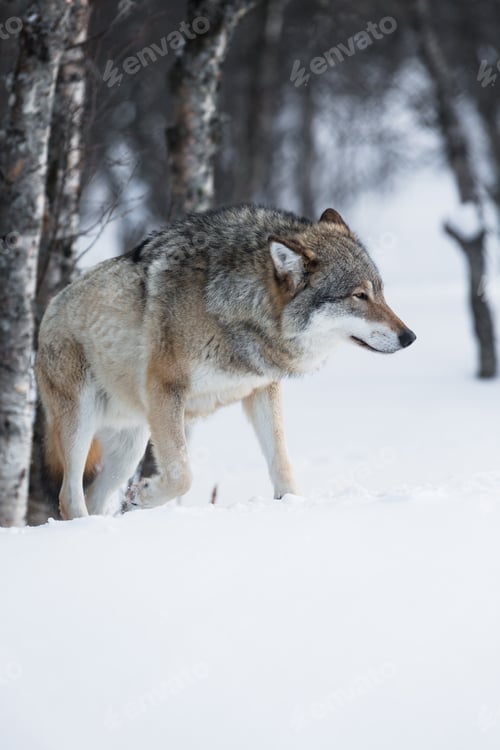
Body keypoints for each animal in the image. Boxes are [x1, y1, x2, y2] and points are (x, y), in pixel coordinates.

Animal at [36, 205, 416, 519]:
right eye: (358, 296)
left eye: (380, 292)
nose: (409, 337)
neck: (235, 308)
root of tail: (49, 308)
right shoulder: (166, 388)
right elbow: (183, 475)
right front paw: (146, 496)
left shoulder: (262, 388)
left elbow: (281, 460)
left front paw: (291, 504)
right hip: (84, 422)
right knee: (69, 498)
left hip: (133, 441)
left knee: (96, 497)